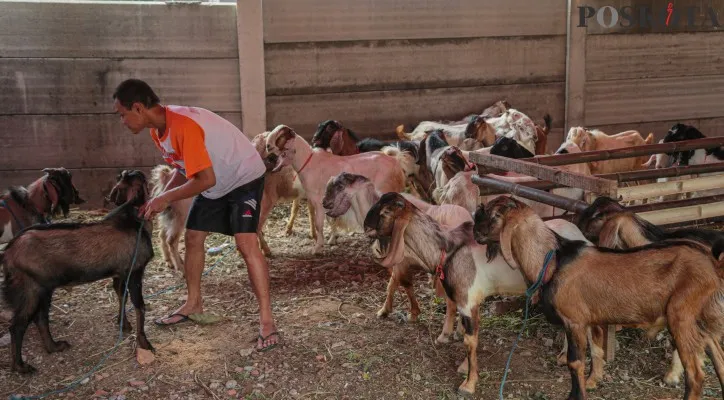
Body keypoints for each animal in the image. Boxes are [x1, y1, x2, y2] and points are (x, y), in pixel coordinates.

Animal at [0, 168, 154, 372]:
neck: (132, 220)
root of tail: (9, 251)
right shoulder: (135, 271)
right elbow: (140, 306)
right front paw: (145, 343)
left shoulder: (120, 273)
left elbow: (122, 296)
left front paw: (123, 325)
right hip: (30, 289)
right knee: (18, 325)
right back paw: (20, 366)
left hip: (43, 289)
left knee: (40, 318)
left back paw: (54, 347)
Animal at [264, 123, 408, 253]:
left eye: (280, 136)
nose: (267, 146)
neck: (309, 162)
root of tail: (396, 162)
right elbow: (330, 220)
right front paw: (331, 239)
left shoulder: (318, 201)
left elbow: (319, 224)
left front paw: (317, 248)